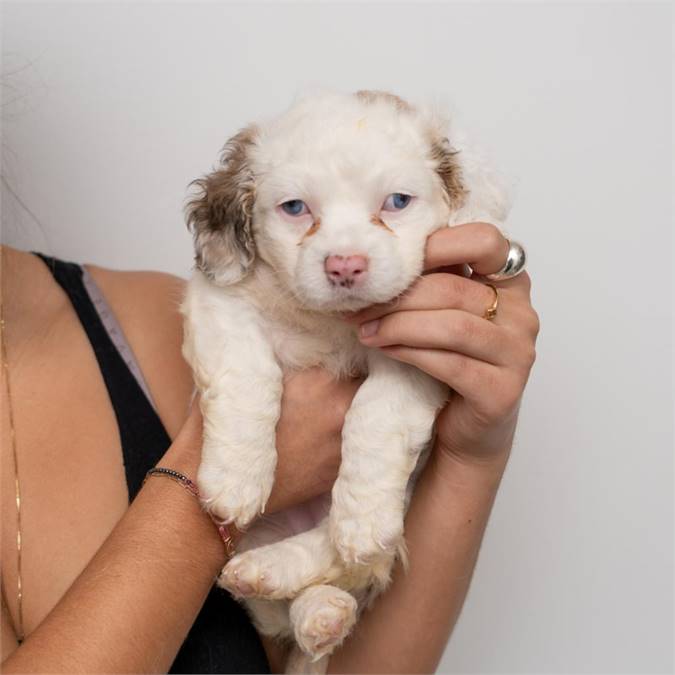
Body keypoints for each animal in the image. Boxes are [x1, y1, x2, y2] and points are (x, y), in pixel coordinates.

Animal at [182, 90, 510, 672]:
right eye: (295, 209)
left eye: (397, 202)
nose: (345, 266)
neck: (330, 323)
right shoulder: (219, 301)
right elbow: (249, 374)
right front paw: (237, 477)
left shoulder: (419, 344)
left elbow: (376, 414)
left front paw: (362, 515)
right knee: (273, 608)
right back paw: (288, 594)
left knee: (347, 559)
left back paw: (310, 596)